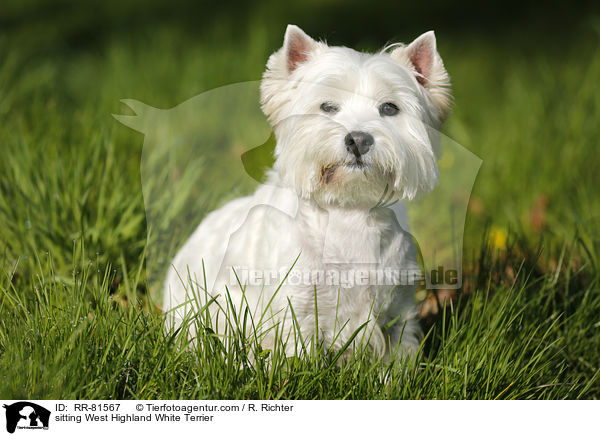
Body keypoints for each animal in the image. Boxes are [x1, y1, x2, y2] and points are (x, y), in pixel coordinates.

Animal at [162, 24, 452, 362]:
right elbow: (296, 357)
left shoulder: (399, 309)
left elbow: (399, 357)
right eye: (327, 106)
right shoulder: (295, 309)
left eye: (390, 108)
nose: (358, 140)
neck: (349, 212)